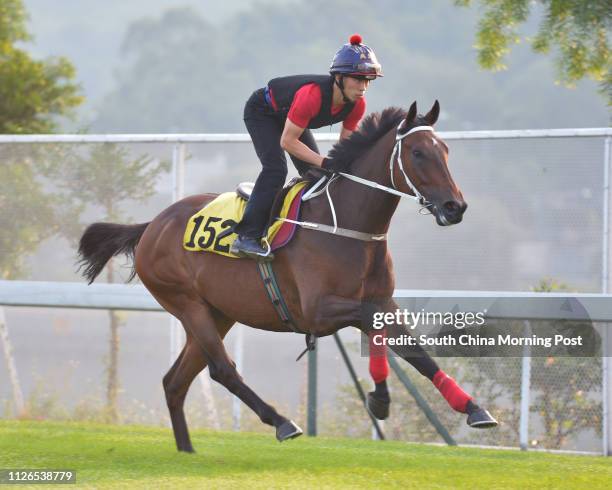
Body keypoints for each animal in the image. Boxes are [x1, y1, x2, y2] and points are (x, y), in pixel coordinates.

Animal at [77, 101, 498, 454]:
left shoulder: (383, 301)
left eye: (445, 150)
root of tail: (152, 225)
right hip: (187, 304)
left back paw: (187, 451)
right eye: (417, 152)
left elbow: (415, 352)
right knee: (222, 369)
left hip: (218, 312)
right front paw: (379, 398)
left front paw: (473, 409)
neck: (349, 226)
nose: (455, 206)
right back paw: (281, 422)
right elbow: (371, 324)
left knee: (175, 381)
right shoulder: (318, 311)